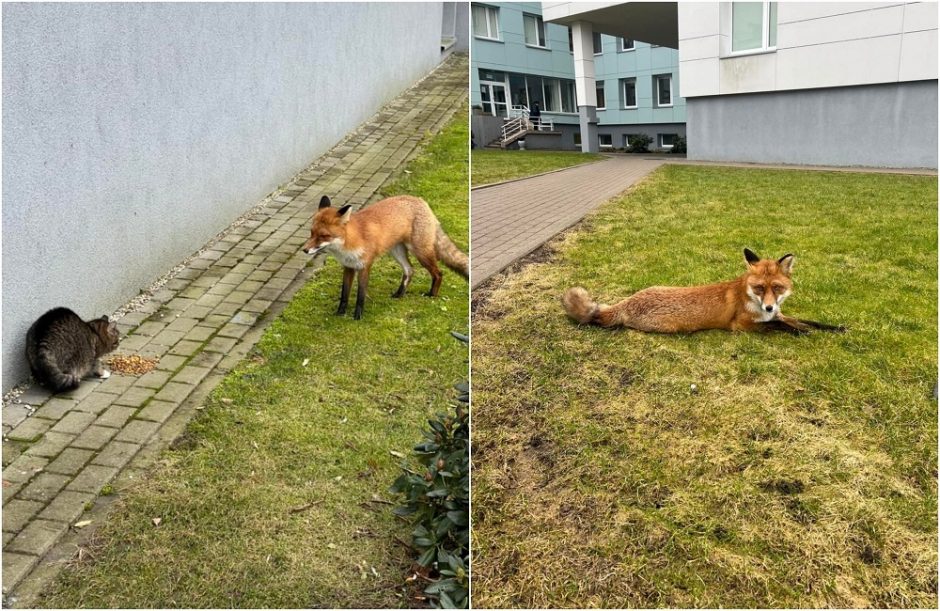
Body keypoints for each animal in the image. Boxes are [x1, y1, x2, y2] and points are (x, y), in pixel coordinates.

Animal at [302, 196, 468, 320]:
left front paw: (357, 316)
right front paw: (340, 313)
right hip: (397, 252)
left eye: (323, 236)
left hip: (421, 253)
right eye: (311, 233)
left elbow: (360, 295)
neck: (351, 240)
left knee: (438, 273)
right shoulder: (348, 266)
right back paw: (399, 295)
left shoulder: (364, 266)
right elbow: (344, 294)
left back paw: (432, 295)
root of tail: (421, 200)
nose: (305, 250)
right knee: (410, 270)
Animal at [560, 249, 848, 334]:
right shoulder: (742, 326)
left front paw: (835, 328)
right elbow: (782, 326)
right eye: (759, 288)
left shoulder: (777, 314)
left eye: (776, 288)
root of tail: (627, 302)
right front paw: (804, 333)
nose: (768, 306)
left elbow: (807, 321)